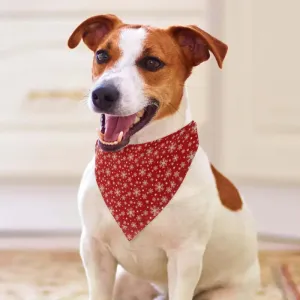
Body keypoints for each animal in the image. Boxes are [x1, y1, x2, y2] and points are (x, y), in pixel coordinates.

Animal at [67, 12, 260, 298]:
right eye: (102, 55)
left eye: (152, 62)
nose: (102, 94)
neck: (135, 165)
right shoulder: (94, 248)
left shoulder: (185, 258)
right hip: (127, 282)